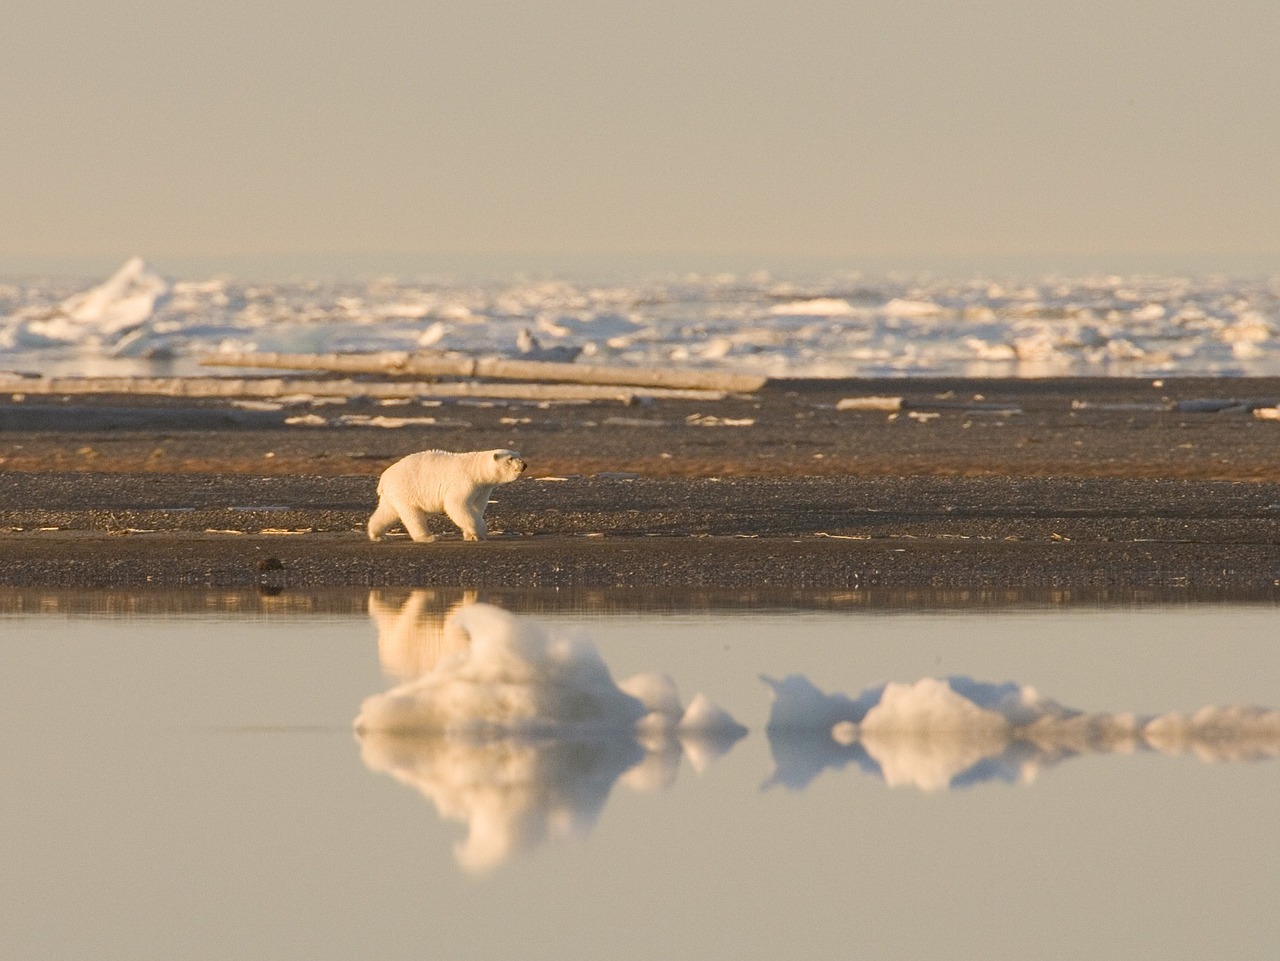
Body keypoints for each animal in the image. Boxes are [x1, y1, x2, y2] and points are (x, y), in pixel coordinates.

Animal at [368, 450, 527, 542]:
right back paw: (429, 537)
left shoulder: (482, 488)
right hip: (406, 489)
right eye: (510, 458)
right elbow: (456, 505)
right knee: (413, 515)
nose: (524, 465)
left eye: (519, 455)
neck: (476, 470)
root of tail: (383, 479)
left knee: (387, 512)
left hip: (395, 494)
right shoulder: (464, 481)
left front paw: (470, 535)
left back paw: (377, 535)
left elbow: (476, 507)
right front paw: (479, 532)